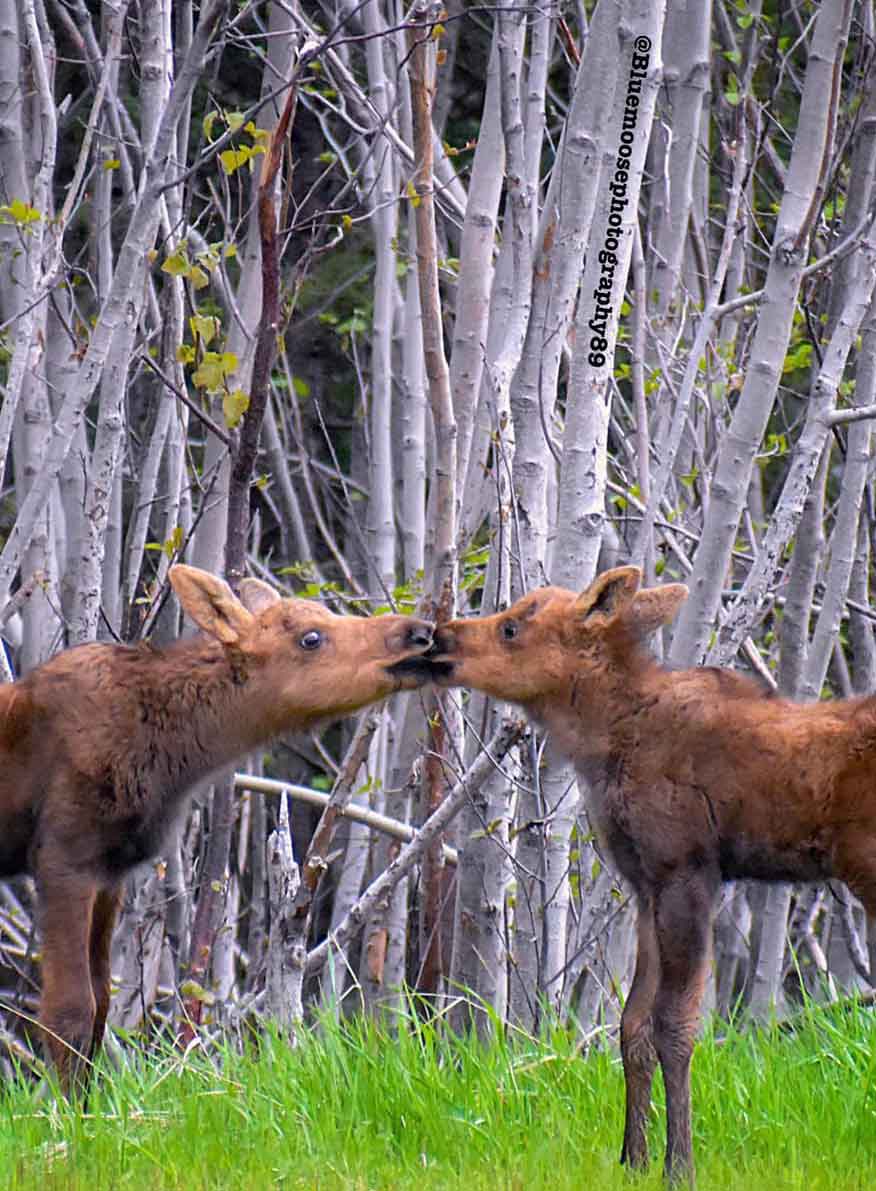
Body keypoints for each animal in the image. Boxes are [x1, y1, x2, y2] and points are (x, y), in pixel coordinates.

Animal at [0, 562, 435, 1090]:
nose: (418, 632)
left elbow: (102, 1002)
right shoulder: (65, 858)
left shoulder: (111, 873)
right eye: (311, 638)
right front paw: (66, 1111)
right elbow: (69, 1012)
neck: (168, 758)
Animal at [430, 566, 876, 1181]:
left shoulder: (686, 872)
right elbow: (632, 1025)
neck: (603, 744)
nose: (439, 637)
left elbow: (675, 1024)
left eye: (512, 628)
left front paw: (679, 1164)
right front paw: (632, 1158)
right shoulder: (644, 887)